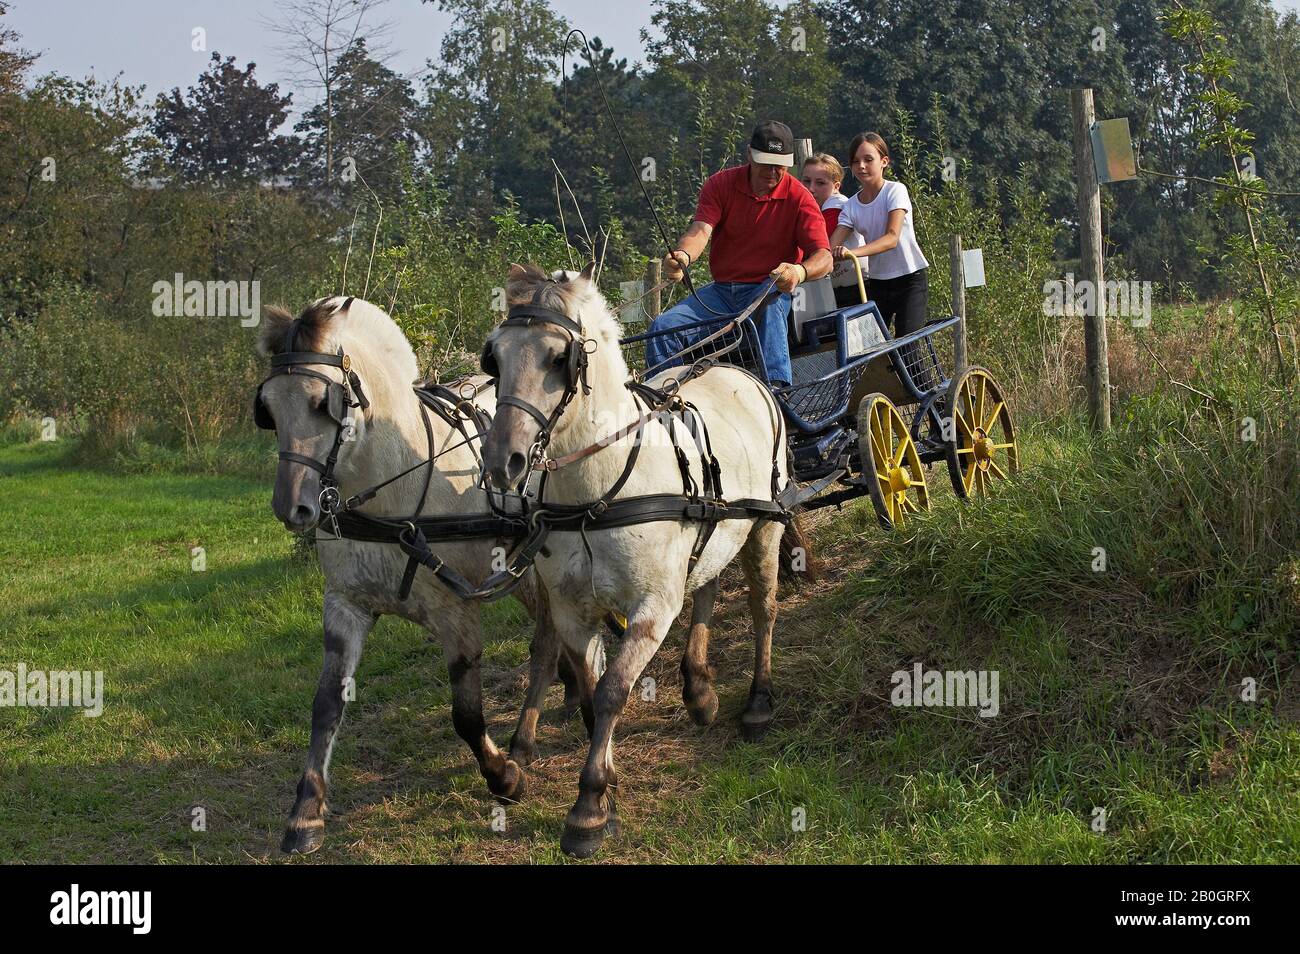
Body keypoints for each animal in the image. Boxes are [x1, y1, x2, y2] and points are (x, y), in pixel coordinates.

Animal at [253, 295, 590, 857]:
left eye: (325, 403)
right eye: (270, 408)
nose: (292, 508)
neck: (395, 486)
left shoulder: (456, 613)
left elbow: (467, 715)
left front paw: (504, 776)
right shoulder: (345, 605)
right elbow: (326, 704)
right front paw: (306, 813)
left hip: (537, 574)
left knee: (544, 645)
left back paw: (527, 738)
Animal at [480, 265, 790, 863]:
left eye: (559, 358)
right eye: (495, 359)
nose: (503, 461)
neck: (596, 494)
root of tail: (736, 370)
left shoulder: (651, 608)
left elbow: (611, 691)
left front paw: (589, 809)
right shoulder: (573, 611)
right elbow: (589, 685)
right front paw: (608, 781)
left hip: (765, 526)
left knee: (763, 609)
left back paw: (760, 702)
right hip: (713, 530)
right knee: (706, 586)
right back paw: (699, 691)